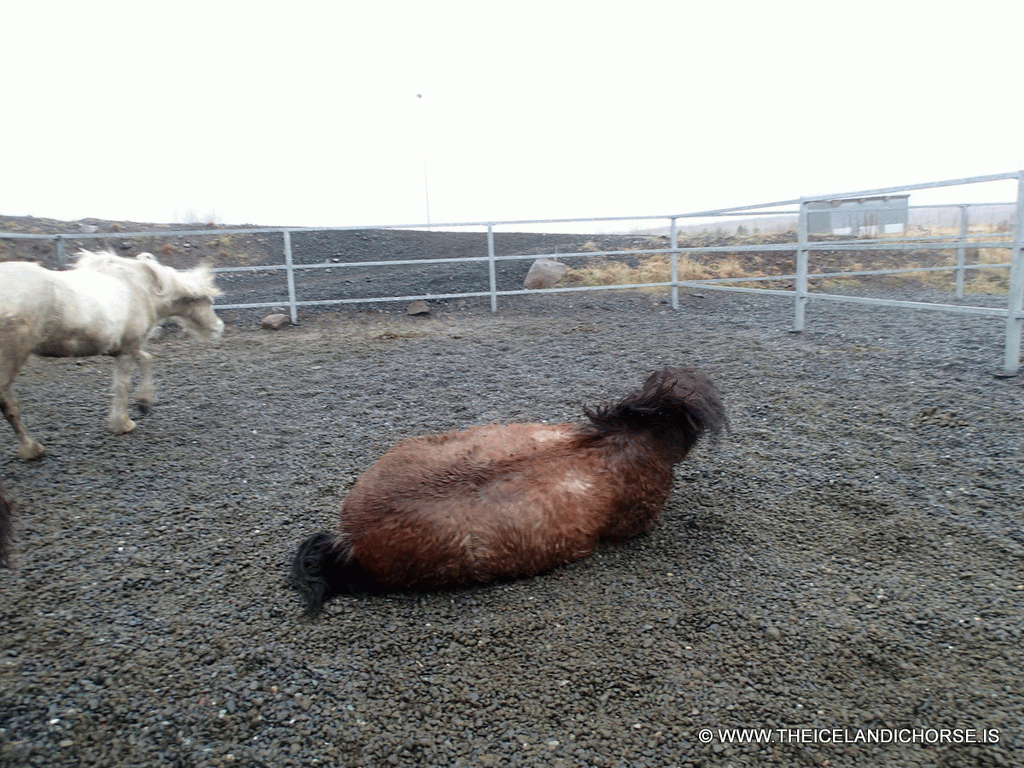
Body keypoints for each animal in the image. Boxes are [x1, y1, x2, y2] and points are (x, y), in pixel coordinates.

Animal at [0, 249, 224, 460]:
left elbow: (146, 360)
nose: (219, 328)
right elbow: (123, 385)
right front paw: (125, 421)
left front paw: (144, 402)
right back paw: (32, 449)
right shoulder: (126, 349)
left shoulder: (125, 348)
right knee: (10, 406)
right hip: (11, 360)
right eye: (206, 301)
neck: (142, 289)